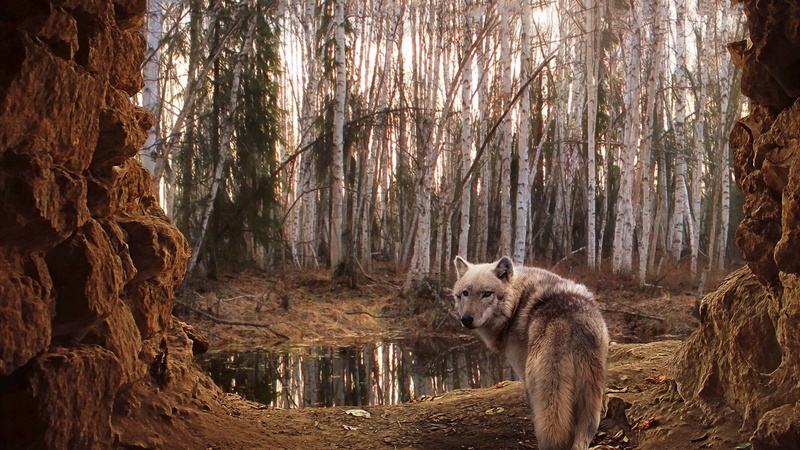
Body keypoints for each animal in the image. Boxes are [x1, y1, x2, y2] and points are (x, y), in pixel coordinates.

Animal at [452, 256, 609, 450]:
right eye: (465, 293)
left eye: (487, 294)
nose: (466, 319)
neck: (517, 303)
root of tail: (569, 321)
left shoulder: (523, 375)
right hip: (591, 395)